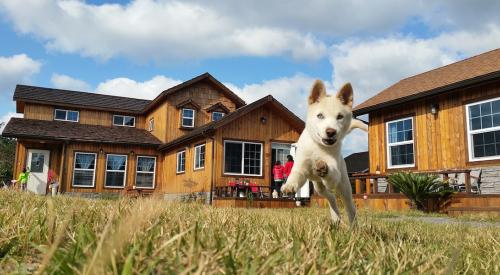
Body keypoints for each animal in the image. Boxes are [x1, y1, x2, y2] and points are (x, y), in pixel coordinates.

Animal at [282, 80, 368, 226]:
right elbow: (295, 175)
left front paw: (324, 169)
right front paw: (289, 186)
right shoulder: (301, 167)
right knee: (331, 197)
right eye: (320, 116)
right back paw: (336, 218)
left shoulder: (334, 175)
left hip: (344, 185)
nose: (331, 132)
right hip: (318, 187)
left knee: (349, 205)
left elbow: (331, 173)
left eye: (340, 117)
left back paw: (353, 225)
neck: (318, 146)